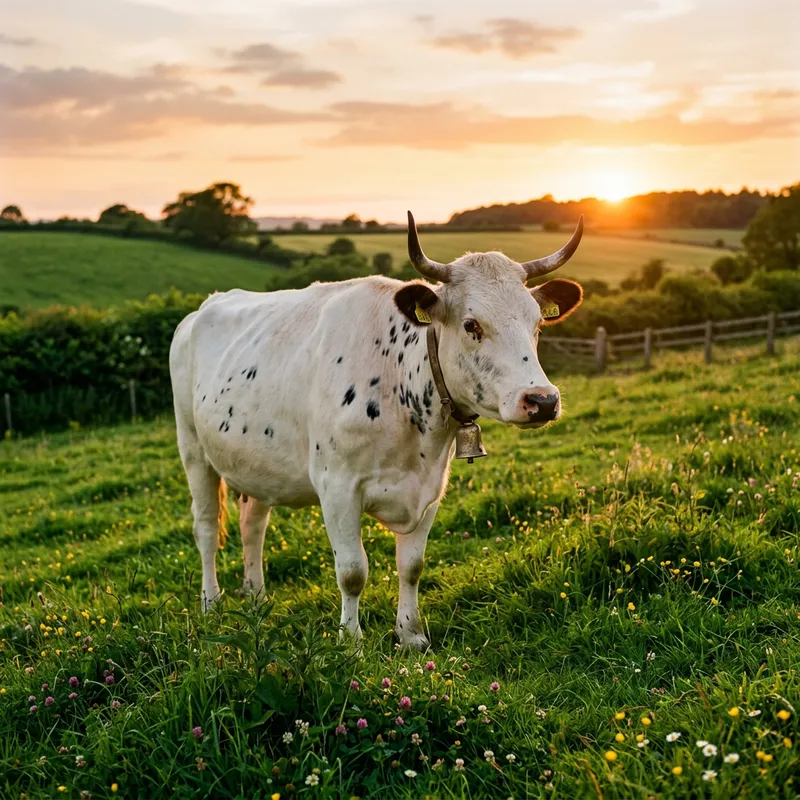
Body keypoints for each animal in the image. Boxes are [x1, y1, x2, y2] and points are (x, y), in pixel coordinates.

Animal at [169, 212, 584, 650]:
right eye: (472, 324)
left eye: (537, 323)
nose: (542, 400)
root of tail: (201, 310)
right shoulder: (336, 487)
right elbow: (353, 571)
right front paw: (350, 643)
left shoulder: (430, 488)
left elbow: (412, 565)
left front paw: (412, 634)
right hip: (193, 449)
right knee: (206, 527)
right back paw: (211, 603)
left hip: (256, 463)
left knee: (253, 525)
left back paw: (257, 599)